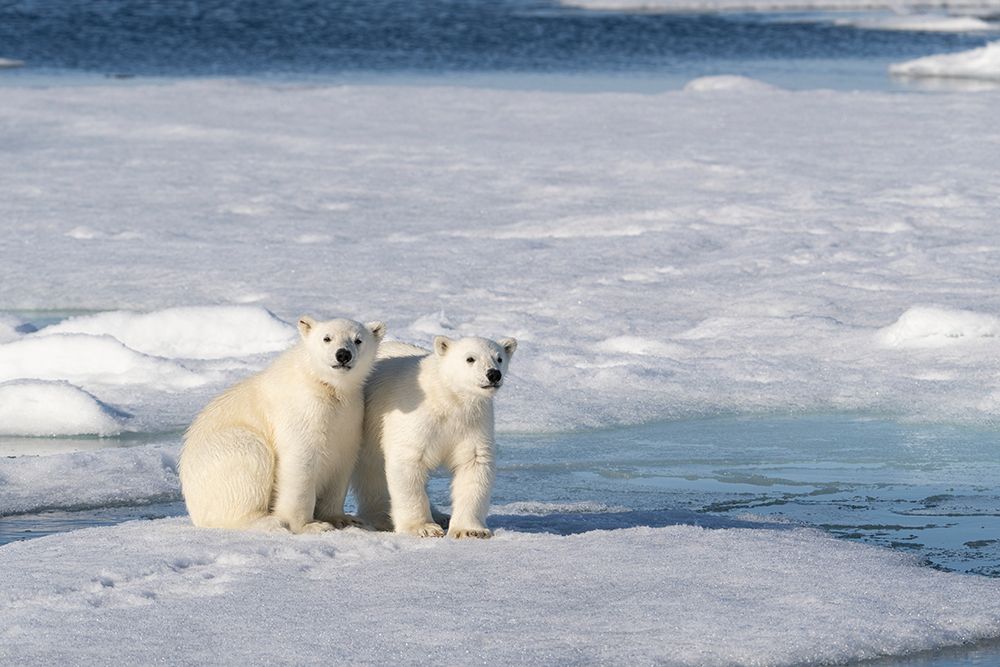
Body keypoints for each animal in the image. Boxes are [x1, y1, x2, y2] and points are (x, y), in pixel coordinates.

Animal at [179, 315, 385, 533]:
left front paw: (344, 519)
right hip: (226, 455)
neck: (323, 384)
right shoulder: (300, 411)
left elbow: (341, 463)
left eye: (358, 340)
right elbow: (299, 464)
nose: (343, 354)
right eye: (327, 338)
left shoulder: (349, 418)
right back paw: (268, 520)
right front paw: (310, 525)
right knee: (252, 460)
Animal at [353, 334, 517, 538]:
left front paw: (470, 530)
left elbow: (474, 462)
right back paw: (381, 517)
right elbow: (408, 462)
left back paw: (441, 516)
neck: (446, 398)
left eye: (499, 358)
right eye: (470, 358)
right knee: (372, 470)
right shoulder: (416, 418)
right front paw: (422, 527)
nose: (493, 374)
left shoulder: (473, 423)